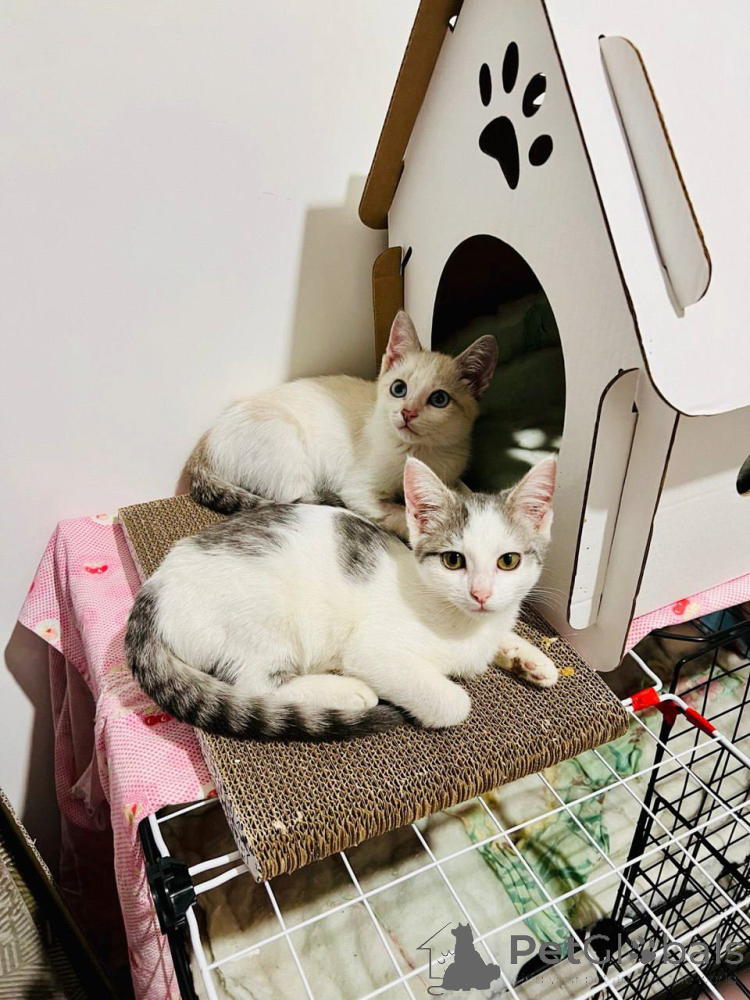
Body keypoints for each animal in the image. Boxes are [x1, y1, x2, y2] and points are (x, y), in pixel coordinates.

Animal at [125, 456, 558, 741]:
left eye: (508, 561)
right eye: (454, 560)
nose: (481, 593)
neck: (466, 626)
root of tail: (154, 588)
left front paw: (529, 659)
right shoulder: (372, 651)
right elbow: (453, 703)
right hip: (268, 616)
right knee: (256, 685)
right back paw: (348, 692)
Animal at [184, 311, 498, 537]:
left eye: (439, 399)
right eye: (399, 389)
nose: (407, 412)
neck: (421, 451)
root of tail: (203, 446)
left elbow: (462, 490)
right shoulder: (357, 488)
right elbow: (395, 513)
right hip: (286, 444)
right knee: (293, 498)